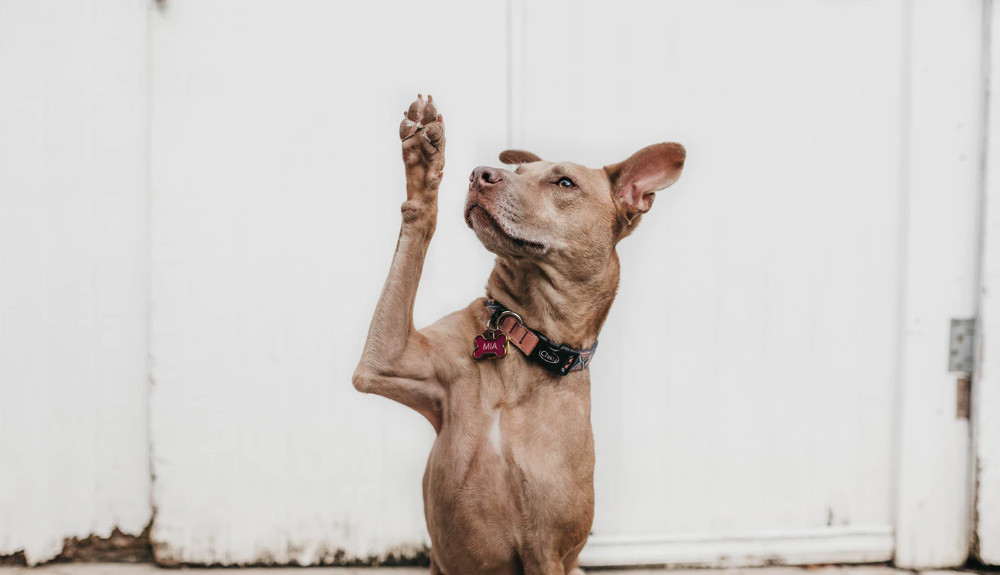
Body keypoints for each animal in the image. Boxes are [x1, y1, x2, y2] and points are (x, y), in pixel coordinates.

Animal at [354, 97, 688, 572]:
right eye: (517, 171)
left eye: (564, 182)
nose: (480, 174)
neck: (524, 338)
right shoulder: (384, 360)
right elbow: (417, 224)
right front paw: (423, 164)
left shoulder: (546, 551)